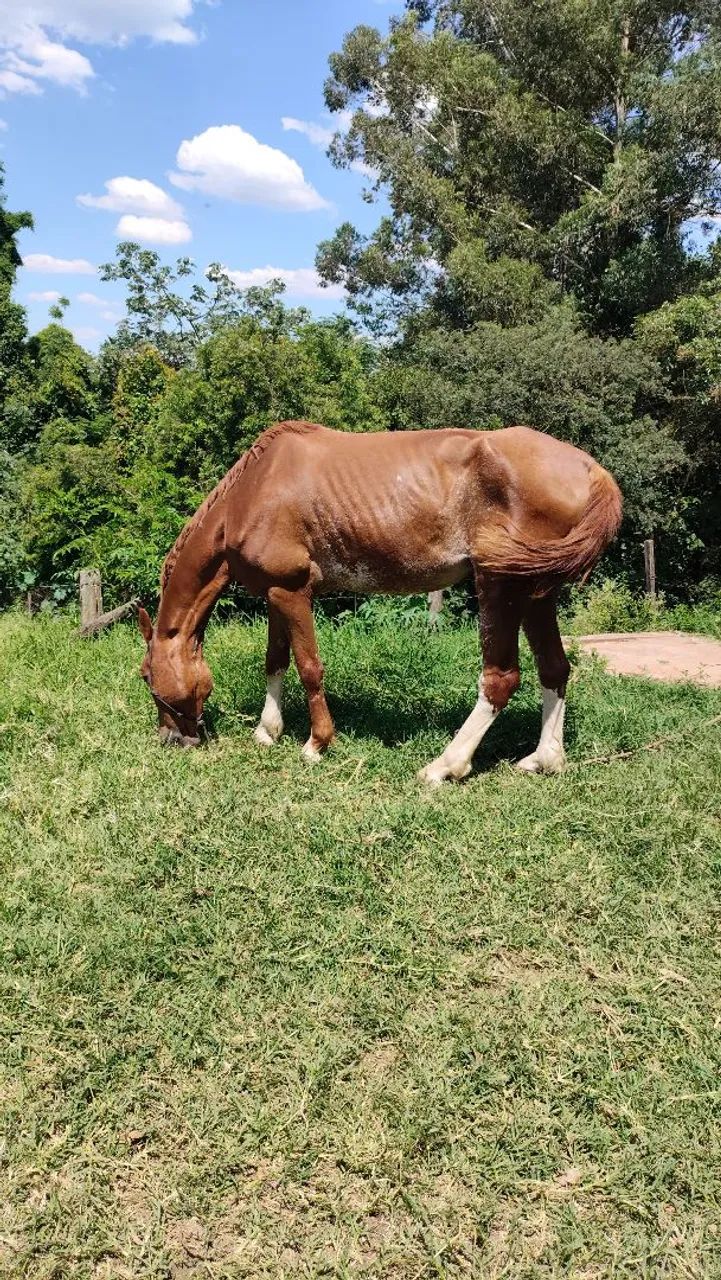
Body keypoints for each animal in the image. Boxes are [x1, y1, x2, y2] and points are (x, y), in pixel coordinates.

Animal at [138, 420, 622, 784]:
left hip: (500, 585)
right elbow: (275, 661)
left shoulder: (294, 592)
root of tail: (590, 468)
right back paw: (545, 759)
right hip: (538, 592)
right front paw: (267, 731)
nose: (171, 739)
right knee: (554, 669)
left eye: (145, 677)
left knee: (501, 679)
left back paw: (445, 766)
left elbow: (309, 667)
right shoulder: (277, 594)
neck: (252, 492)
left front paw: (316, 744)